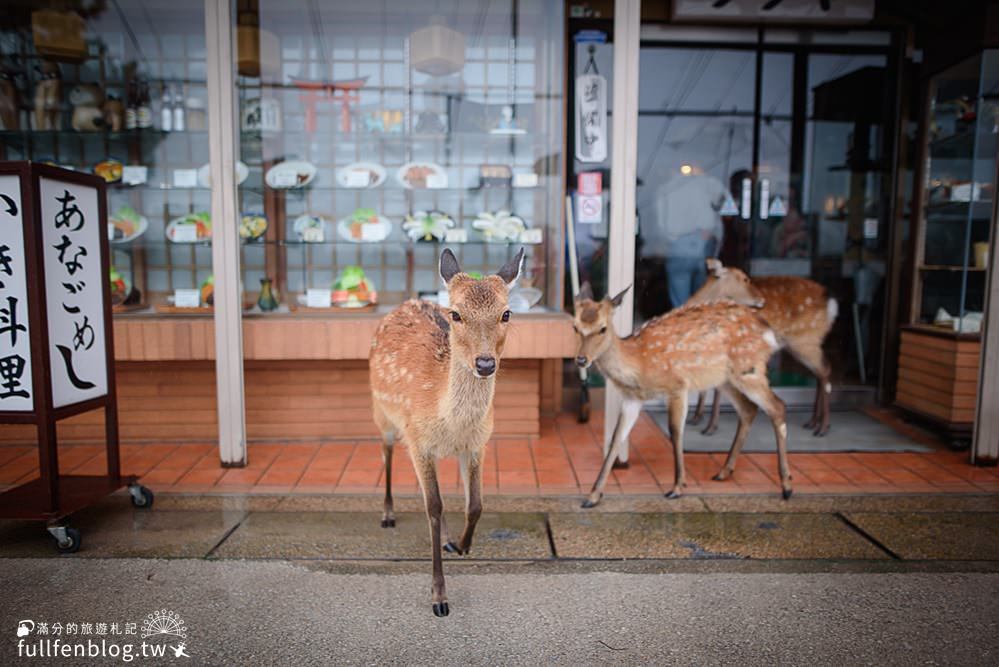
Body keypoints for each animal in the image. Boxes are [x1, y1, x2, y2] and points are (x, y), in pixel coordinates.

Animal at [368, 248, 524, 620]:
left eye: (506, 313)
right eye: (455, 314)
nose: (485, 364)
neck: (450, 422)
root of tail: (406, 302)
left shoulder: (479, 442)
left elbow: (475, 504)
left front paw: (462, 545)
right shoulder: (418, 440)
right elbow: (434, 508)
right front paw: (439, 597)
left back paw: (446, 537)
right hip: (382, 413)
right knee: (386, 452)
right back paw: (388, 514)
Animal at [576, 282, 792, 506]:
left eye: (602, 328)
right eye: (576, 327)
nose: (581, 360)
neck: (639, 363)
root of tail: (767, 331)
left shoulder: (677, 385)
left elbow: (675, 432)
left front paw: (677, 487)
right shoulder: (632, 399)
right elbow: (616, 438)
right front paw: (593, 496)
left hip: (749, 368)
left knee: (777, 406)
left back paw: (786, 486)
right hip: (724, 378)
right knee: (749, 409)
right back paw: (724, 472)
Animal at [688, 260, 836, 438]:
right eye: (745, 279)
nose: (762, 300)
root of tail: (831, 305)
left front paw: (710, 427)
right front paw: (697, 419)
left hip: (806, 340)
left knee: (825, 370)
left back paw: (822, 427)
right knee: (820, 373)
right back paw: (813, 422)